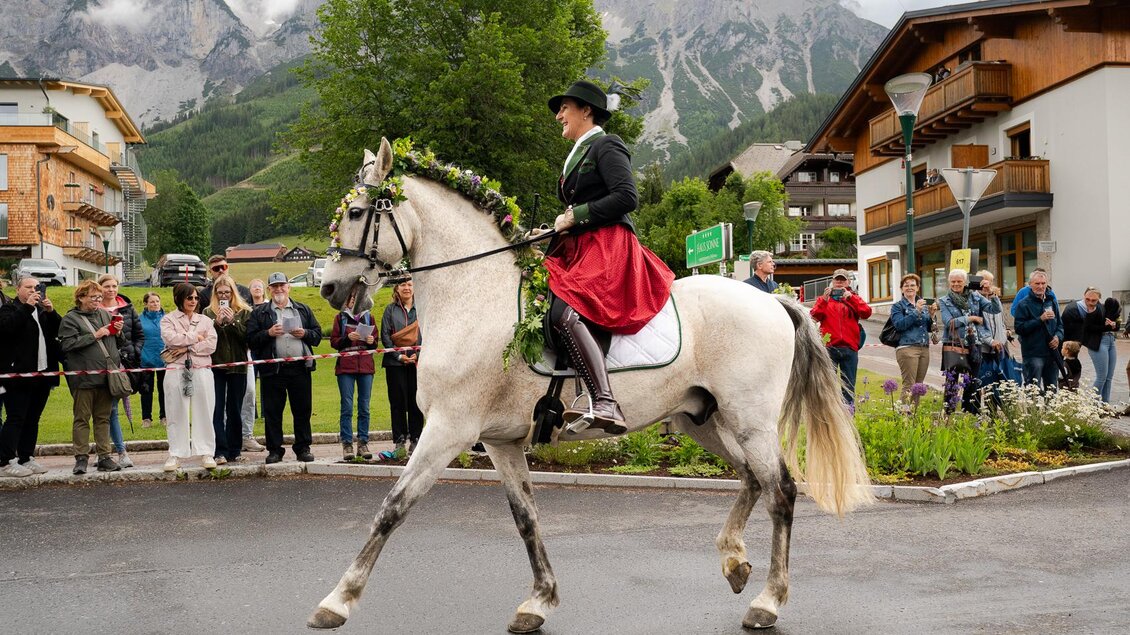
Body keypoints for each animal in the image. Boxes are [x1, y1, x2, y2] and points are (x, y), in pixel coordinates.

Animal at [309, 137, 873, 632]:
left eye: (356, 213)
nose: (330, 288)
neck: (477, 298)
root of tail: (774, 299)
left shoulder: (449, 429)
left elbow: (393, 507)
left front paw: (337, 601)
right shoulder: (499, 441)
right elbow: (526, 517)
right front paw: (538, 602)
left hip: (750, 419)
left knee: (781, 490)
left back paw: (767, 602)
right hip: (702, 419)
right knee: (752, 479)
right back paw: (734, 562)